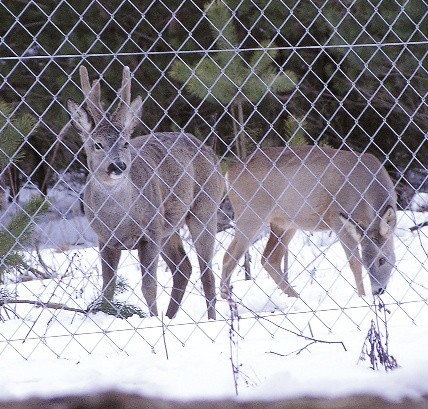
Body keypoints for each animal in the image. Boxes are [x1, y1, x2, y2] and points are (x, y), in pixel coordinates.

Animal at [67, 66, 224, 318]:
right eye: (97, 144)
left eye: (125, 143)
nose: (118, 166)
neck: (119, 220)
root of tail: (208, 149)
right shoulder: (104, 239)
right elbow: (108, 287)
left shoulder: (150, 233)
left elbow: (149, 286)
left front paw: (152, 319)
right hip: (168, 226)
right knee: (183, 267)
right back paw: (170, 317)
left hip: (204, 208)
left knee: (206, 273)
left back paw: (209, 320)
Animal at [222, 145, 396, 298]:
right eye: (369, 262)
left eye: (382, 260)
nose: (377, 291)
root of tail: (228, 173)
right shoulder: (336, 218)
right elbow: (354, 263)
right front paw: (362, 297)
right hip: (251, 214)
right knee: (230, 258)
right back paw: (227, 298)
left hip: (283, 223)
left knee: (268, 259)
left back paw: (295, 297)